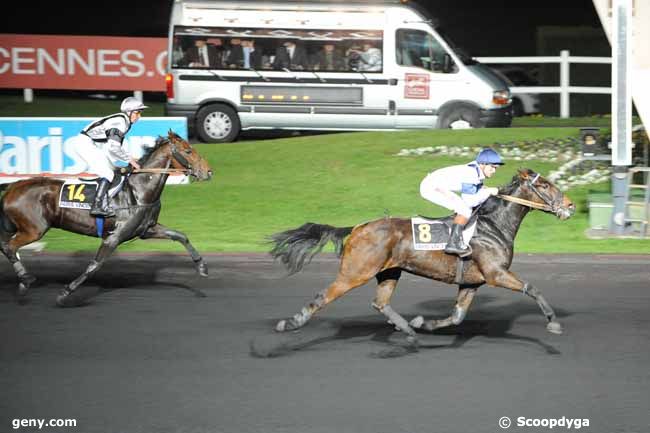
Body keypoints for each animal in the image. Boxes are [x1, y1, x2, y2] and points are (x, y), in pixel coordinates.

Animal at [0, 130, 211, 306]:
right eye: (188, 150)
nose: (208, 172)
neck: (138, 191)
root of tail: (12, 186)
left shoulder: (147, 229)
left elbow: (180, 235)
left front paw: (202, 267)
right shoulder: (114, 237)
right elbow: (94, 266)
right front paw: (65, 293)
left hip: (14, 227)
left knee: (6, 246)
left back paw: (23, 281)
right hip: (33, 229)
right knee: (10, 247)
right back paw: (26, 280)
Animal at [268, 169, 572, 344]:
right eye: (545, 185)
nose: (569, 205)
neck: (493, 225)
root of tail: (357, 227)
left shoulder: (472, 282)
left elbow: (457, 317)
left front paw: (422, 322)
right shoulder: (496, 273)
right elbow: (532, 288)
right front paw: (553, 322)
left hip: (389, 272)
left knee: (380, 303)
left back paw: (408, 329)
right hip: (355, 272)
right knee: (322, 297)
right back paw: (290, 323)